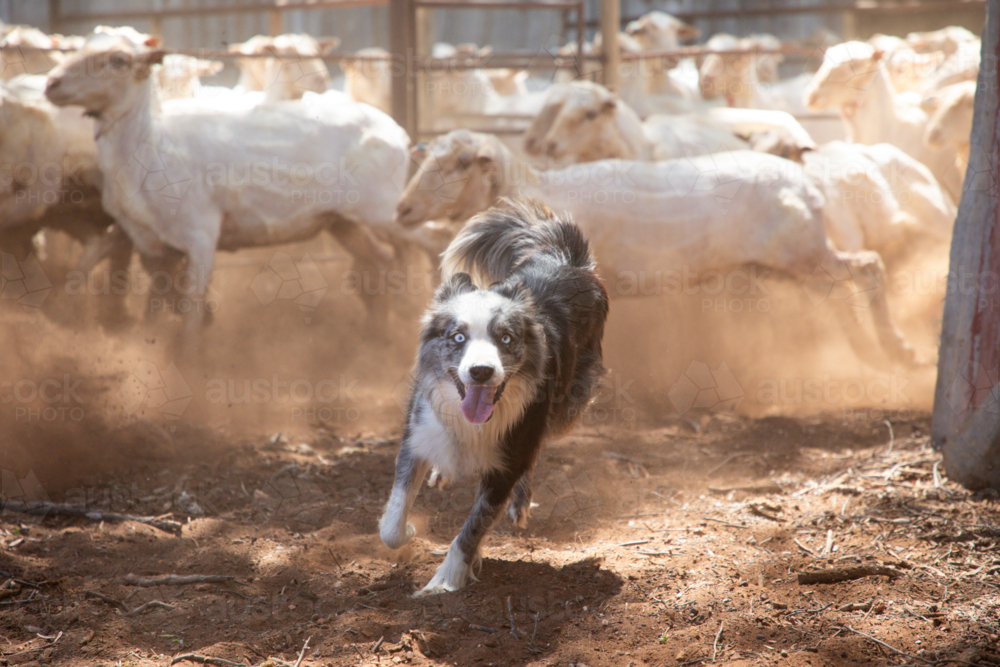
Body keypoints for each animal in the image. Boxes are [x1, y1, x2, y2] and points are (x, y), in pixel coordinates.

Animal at [44, 34, 410, 352]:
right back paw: (378, 337)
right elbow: (101, 267)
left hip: (385, 210)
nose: (51, 84)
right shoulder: (144, 237)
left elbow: (191, 307)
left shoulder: (201, 236)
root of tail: (395, 129)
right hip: (342, 221)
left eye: (118, 60)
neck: (150, 145)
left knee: (417, 242)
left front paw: (190, 361)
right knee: (382, 260)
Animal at [396, 130, 918, 368]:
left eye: (460, 164)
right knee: (842, 290)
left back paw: (895, 348)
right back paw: (867, 351)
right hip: (786, 263)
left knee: (869, 268)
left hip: (803, 253)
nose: (402, 209)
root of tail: (807, 183)